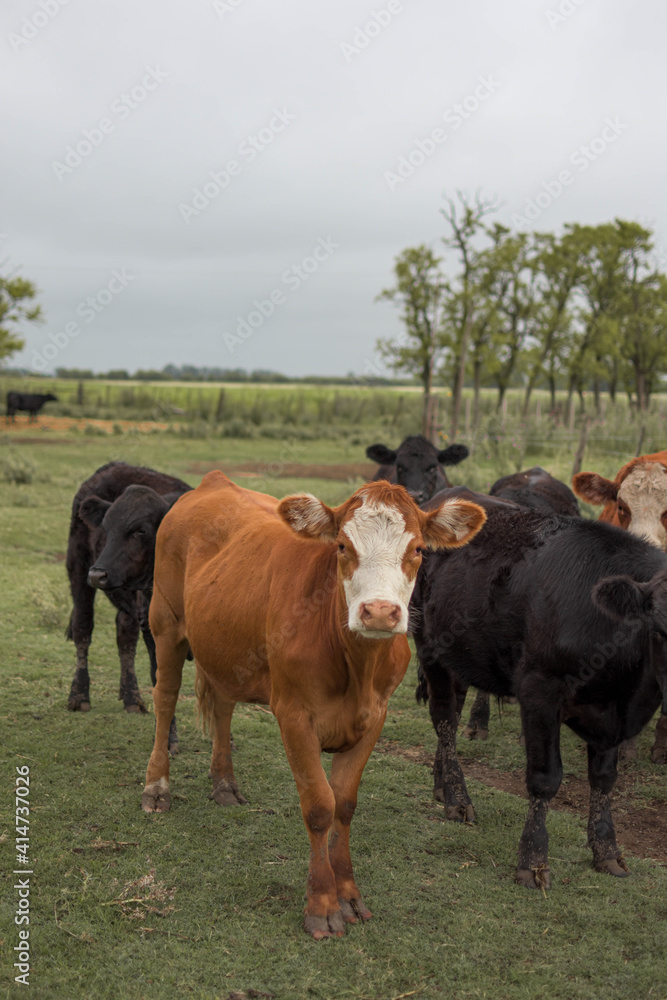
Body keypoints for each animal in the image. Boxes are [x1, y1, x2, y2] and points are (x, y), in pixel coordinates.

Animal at [65, 460, 192, 752]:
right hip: (77, 570)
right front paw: (168, 739)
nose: (98, 573)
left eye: (141, 530)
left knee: (125, 635)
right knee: (83, 629)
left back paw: (132, 698)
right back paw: (79, 696)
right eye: (106, 527)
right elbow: (161, 679)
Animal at [142, 468, 486, 936]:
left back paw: (225, 783)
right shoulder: (293, 714)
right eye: (342, 546)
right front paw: (322, 904)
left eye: (417, 550)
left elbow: (345, 803)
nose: (380, 612)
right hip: (165, 620)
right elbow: (320, 806)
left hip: (226, 647)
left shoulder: (375, 717)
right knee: (164, 698)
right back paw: (157, 786)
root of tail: (214, 481)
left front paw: (350, 895)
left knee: (224, 706)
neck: (355, 666)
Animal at [412, 488, 667, 888]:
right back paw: (457, 798)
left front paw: (607, 851)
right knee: (444, 719)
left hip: (461, 655)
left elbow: (604, 779)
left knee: (452, 712)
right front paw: (532, 862)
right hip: (429, 645)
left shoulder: (610, 714)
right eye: (660, 629)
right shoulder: (539, 691)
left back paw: (442, 785)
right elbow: (545, 779)